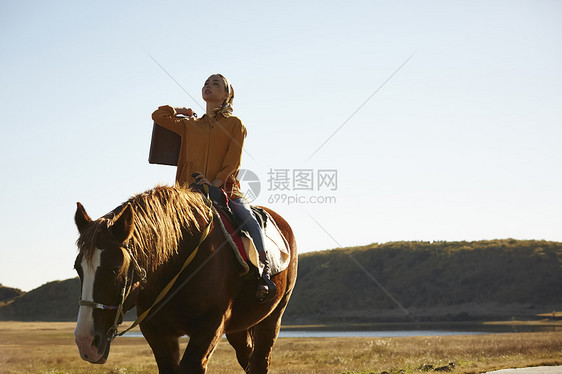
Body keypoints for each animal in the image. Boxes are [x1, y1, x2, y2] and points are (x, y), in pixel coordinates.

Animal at [74, 186, 298, 372]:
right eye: (78, 268)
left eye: (115, 269)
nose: (85, 341)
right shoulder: (158, 333)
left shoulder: (209, 327)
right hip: (239, 327)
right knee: (247, 357)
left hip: (272, 318)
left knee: (260, 360)